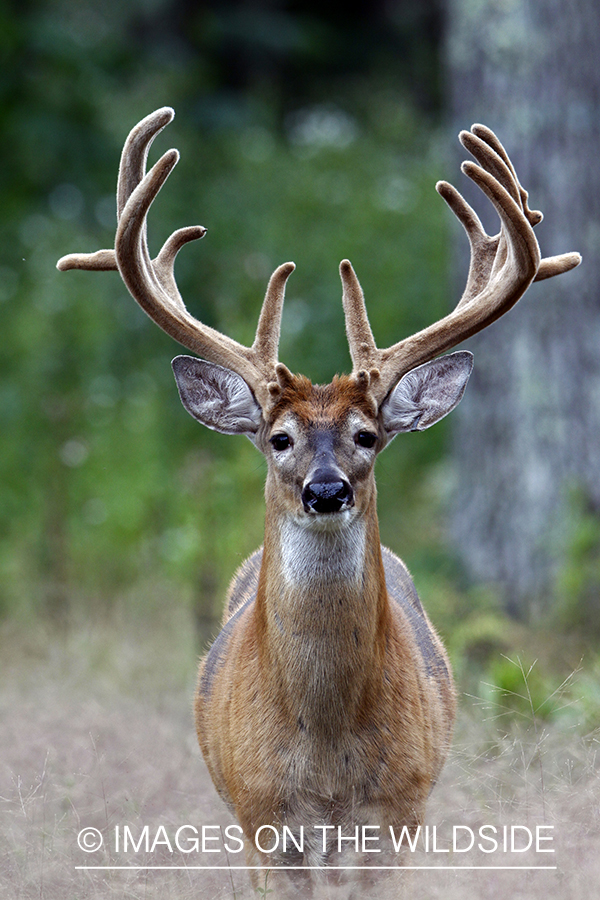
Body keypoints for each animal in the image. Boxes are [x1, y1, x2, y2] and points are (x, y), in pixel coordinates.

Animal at [58, 110, 580, 892]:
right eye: (279, 438)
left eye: (368, 435)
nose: (326, 489)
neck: (327, 750)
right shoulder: (263, 817)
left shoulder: (398, 812)